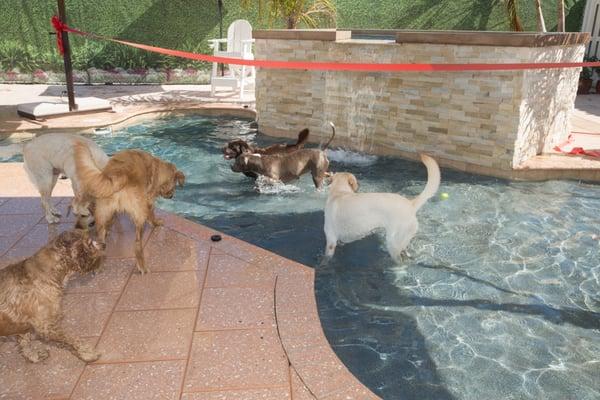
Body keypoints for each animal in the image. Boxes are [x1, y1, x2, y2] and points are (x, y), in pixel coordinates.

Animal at [77, 145, 185, 274]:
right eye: (174, 186)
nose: (171, 196)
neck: (158, 169)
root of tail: (118, 175)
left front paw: (109, 227)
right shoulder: (148, 201)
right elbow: (152, 214)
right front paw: (156, 222)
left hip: (102, 210)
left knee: (100, 238)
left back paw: (99, 262)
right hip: (139, 216)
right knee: (137, 245)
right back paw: (142, 265)